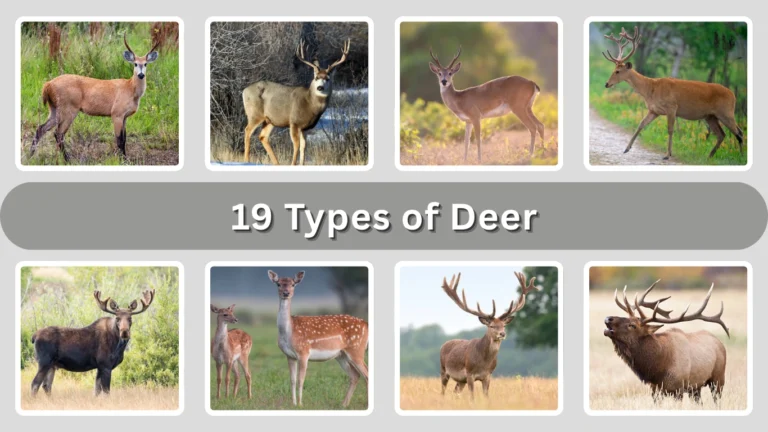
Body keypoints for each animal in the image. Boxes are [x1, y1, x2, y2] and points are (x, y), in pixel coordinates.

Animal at [30, 33, 160, 162]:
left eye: (145, 64)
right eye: (135, 63)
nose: (141, 74)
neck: (130, 89)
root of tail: (48, 85)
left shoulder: (125, 117)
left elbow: (124, 139)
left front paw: (125, 158)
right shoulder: (116, 113)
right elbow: (119, 139)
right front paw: (122, 160)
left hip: (54, 109)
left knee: (41, 128)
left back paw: (31, 155)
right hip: (69, 109)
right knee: (58, 133)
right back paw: (68, 160)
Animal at [268, 270, 368, 407]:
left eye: (293, 284)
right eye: (278, 284)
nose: (286, 293)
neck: (289, 332)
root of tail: (366, 324)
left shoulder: (303, 352)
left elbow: (301, 379)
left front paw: (300, 404)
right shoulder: (289, 355)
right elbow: (292, 380)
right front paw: (293, 404)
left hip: (356, 349)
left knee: (366, 374)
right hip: (341, 355)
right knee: (355, 375)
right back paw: (343, 404)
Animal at [439, 271, 540, 399]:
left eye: (504, 325)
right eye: (491, 326)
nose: (502, 333)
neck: (484, 363)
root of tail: (444, 344)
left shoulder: (488, 375)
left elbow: (486, 396)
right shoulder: (469, 373)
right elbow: (472, 396)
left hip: (461, 380)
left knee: (455, 391)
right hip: (443, 370)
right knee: (443, 391)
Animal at [602, 26, 745, 160]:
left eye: (617, 71)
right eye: (614, 69)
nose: (607, 84)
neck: (650, 89)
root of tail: (733, 95)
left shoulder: (671, 107)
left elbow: (670, 130)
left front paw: (667, 154)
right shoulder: (654, 110)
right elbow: (641, 124)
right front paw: (626, 148)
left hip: (726, 112)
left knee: (739, 133)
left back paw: (741, 157)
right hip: (710, 116)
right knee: (722, 134)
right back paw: (709, 156)